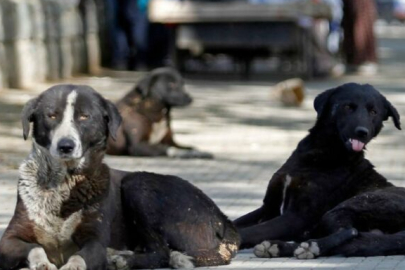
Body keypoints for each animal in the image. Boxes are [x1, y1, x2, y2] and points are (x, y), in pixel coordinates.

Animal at [0, 85, 238, 270]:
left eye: (84, 116)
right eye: (52, 116)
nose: (65, 146)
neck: (63, 183)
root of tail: (222, 216)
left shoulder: (95, 240)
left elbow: (80, 256)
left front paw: (74, 264)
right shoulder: (8, 239)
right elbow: (35, 247)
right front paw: (42, 261)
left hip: (137, 185)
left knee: (161, 252)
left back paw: (122, 259)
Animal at [234, 83, 404, 258]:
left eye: (373, 112)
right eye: (348, 107)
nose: (362, 132)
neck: (322, 154)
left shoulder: (298, 217)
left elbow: (250, 231)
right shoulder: (268, 208)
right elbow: (235, 223)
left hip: (350, 206)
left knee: (350, 232)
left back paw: (308, 247)